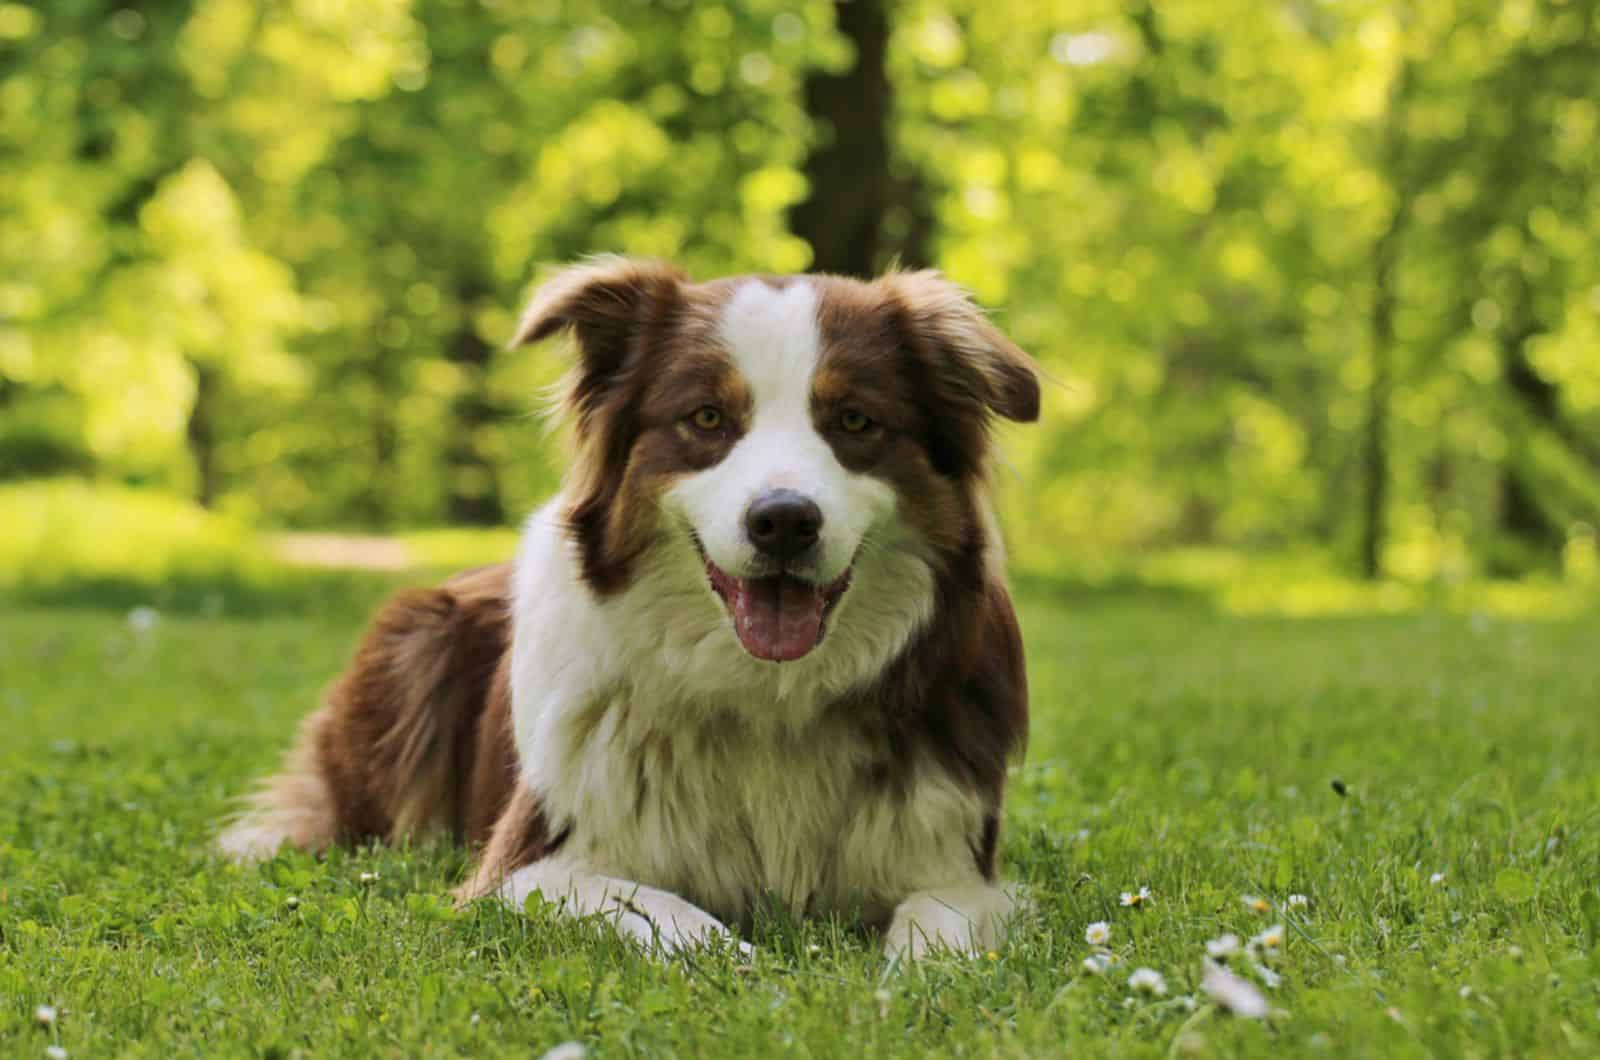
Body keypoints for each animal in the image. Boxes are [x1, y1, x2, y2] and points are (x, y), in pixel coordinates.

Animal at [222, 259, 1036, 960]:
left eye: (857, 421)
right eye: (706, 418)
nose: (783, 522)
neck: (765, 694)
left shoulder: (960, 864)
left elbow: (939, 930)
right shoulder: (521, 868)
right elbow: (669, 912)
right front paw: (742, 962)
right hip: (414, 647)